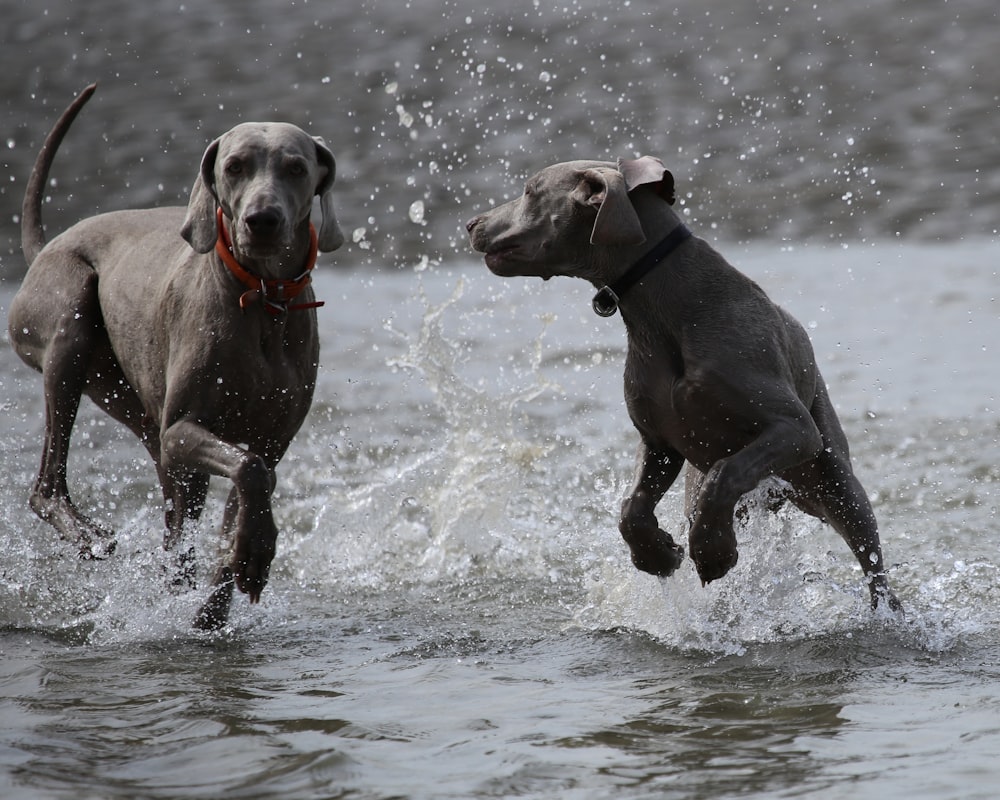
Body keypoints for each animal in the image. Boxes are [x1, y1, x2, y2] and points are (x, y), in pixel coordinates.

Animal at [8, 84, 344, 628]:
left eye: (296, 167)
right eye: (234, 166)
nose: (262, 221)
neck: (262, 296)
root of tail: (46, 246)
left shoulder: (273, 438)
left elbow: (255, 481)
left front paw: (225, 589)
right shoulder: (184, 430)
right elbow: (252, 470)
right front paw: (253, 558)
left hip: (140, 415)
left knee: (178, 523)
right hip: (69, 319)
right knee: (47, 482)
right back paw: (90, 538)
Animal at [464, 156, 904, 612]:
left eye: (530, 191)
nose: (471, 223)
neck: (663, 308)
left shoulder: (794, 430)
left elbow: (726, 471)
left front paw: (712, 553)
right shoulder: (659, 441)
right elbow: (631, 507)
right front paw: (659, 554)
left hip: (833, 476)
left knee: (870, 556)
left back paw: (886, 613)